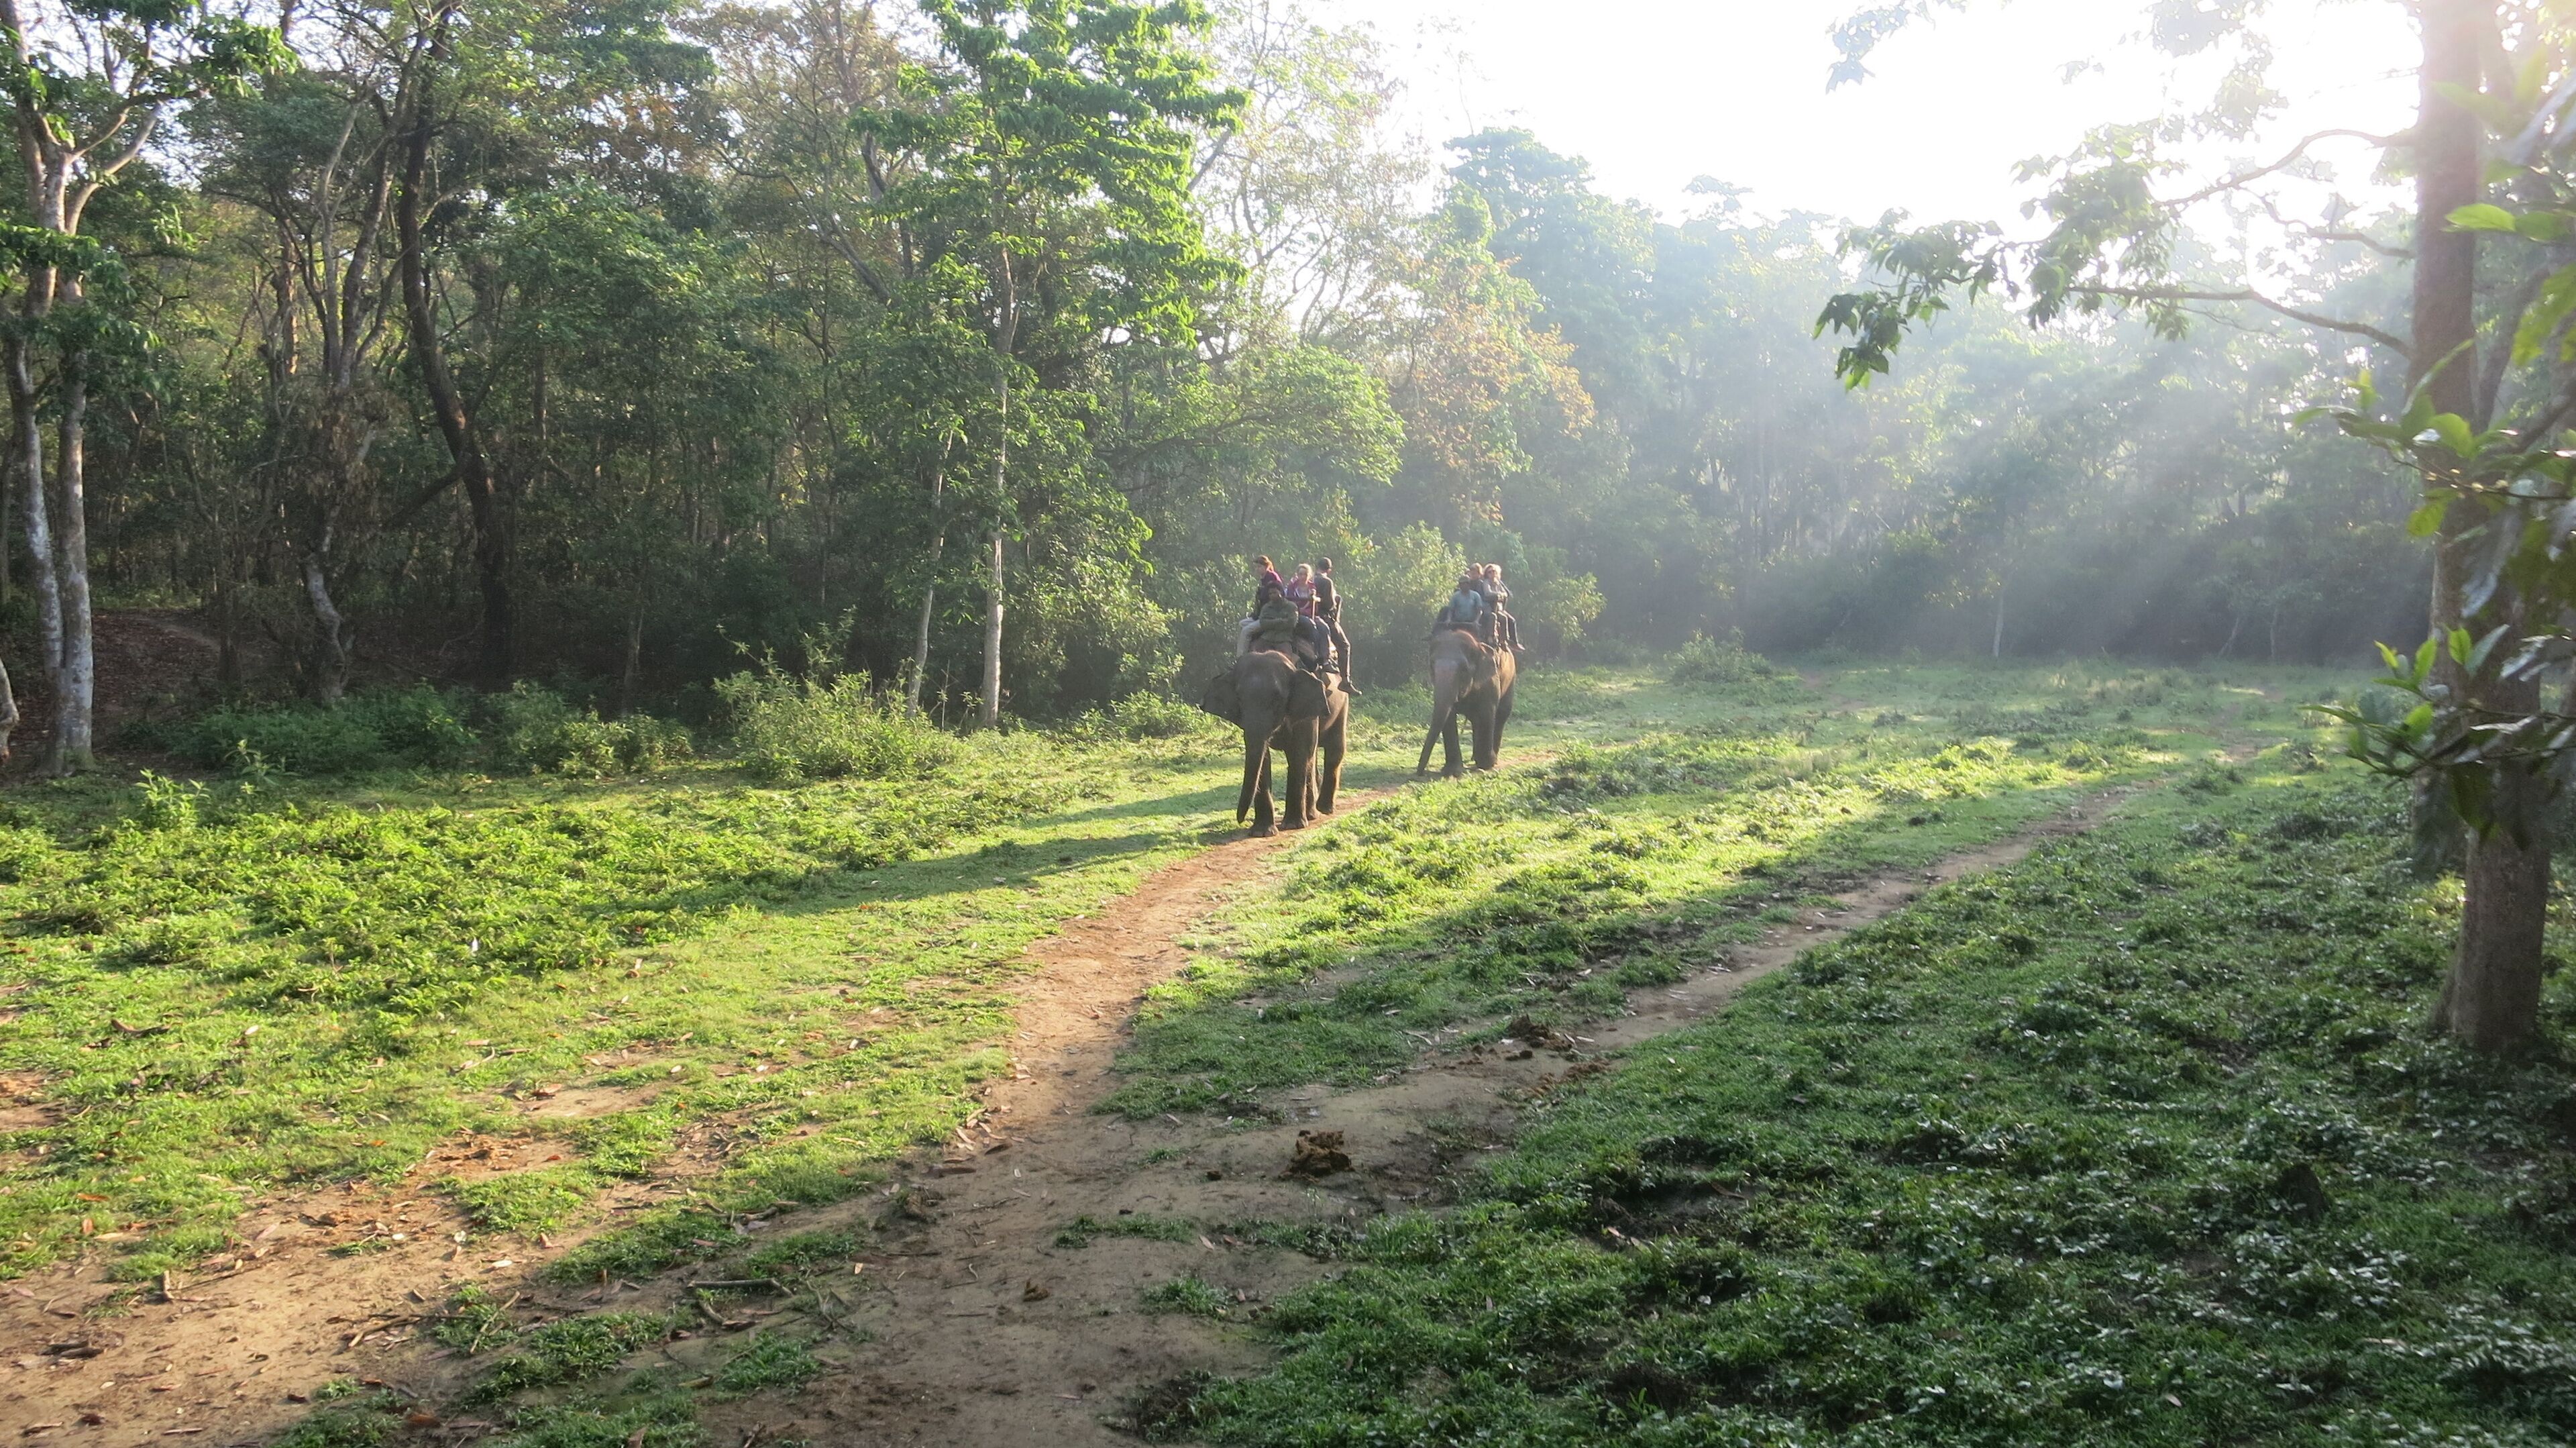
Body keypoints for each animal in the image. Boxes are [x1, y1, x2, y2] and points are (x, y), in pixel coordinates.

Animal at [1201, 649, 1347, 836]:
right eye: (1239, 698)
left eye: (1278, 698)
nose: (1240, 820)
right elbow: (1264, 759)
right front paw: (1261, 832)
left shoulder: (1306, 711)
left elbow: (1298, 754)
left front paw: (1293, 826)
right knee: (1313, 756)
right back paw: (1312, 814)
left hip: (1342, 704)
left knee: (1334, 749)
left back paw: (1324, 810)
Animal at [1416, 627, 1516, 776]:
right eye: (1432, 666)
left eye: (1464, 669)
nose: (1421, 772)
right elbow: (1449, 717)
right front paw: (1452, 770)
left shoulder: (1490, 679)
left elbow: (1487, 712)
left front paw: (1486, 764)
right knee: (1476, 720)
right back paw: (1475, 757)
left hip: (1511, 678)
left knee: (1501, 714)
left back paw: (1492, 760)